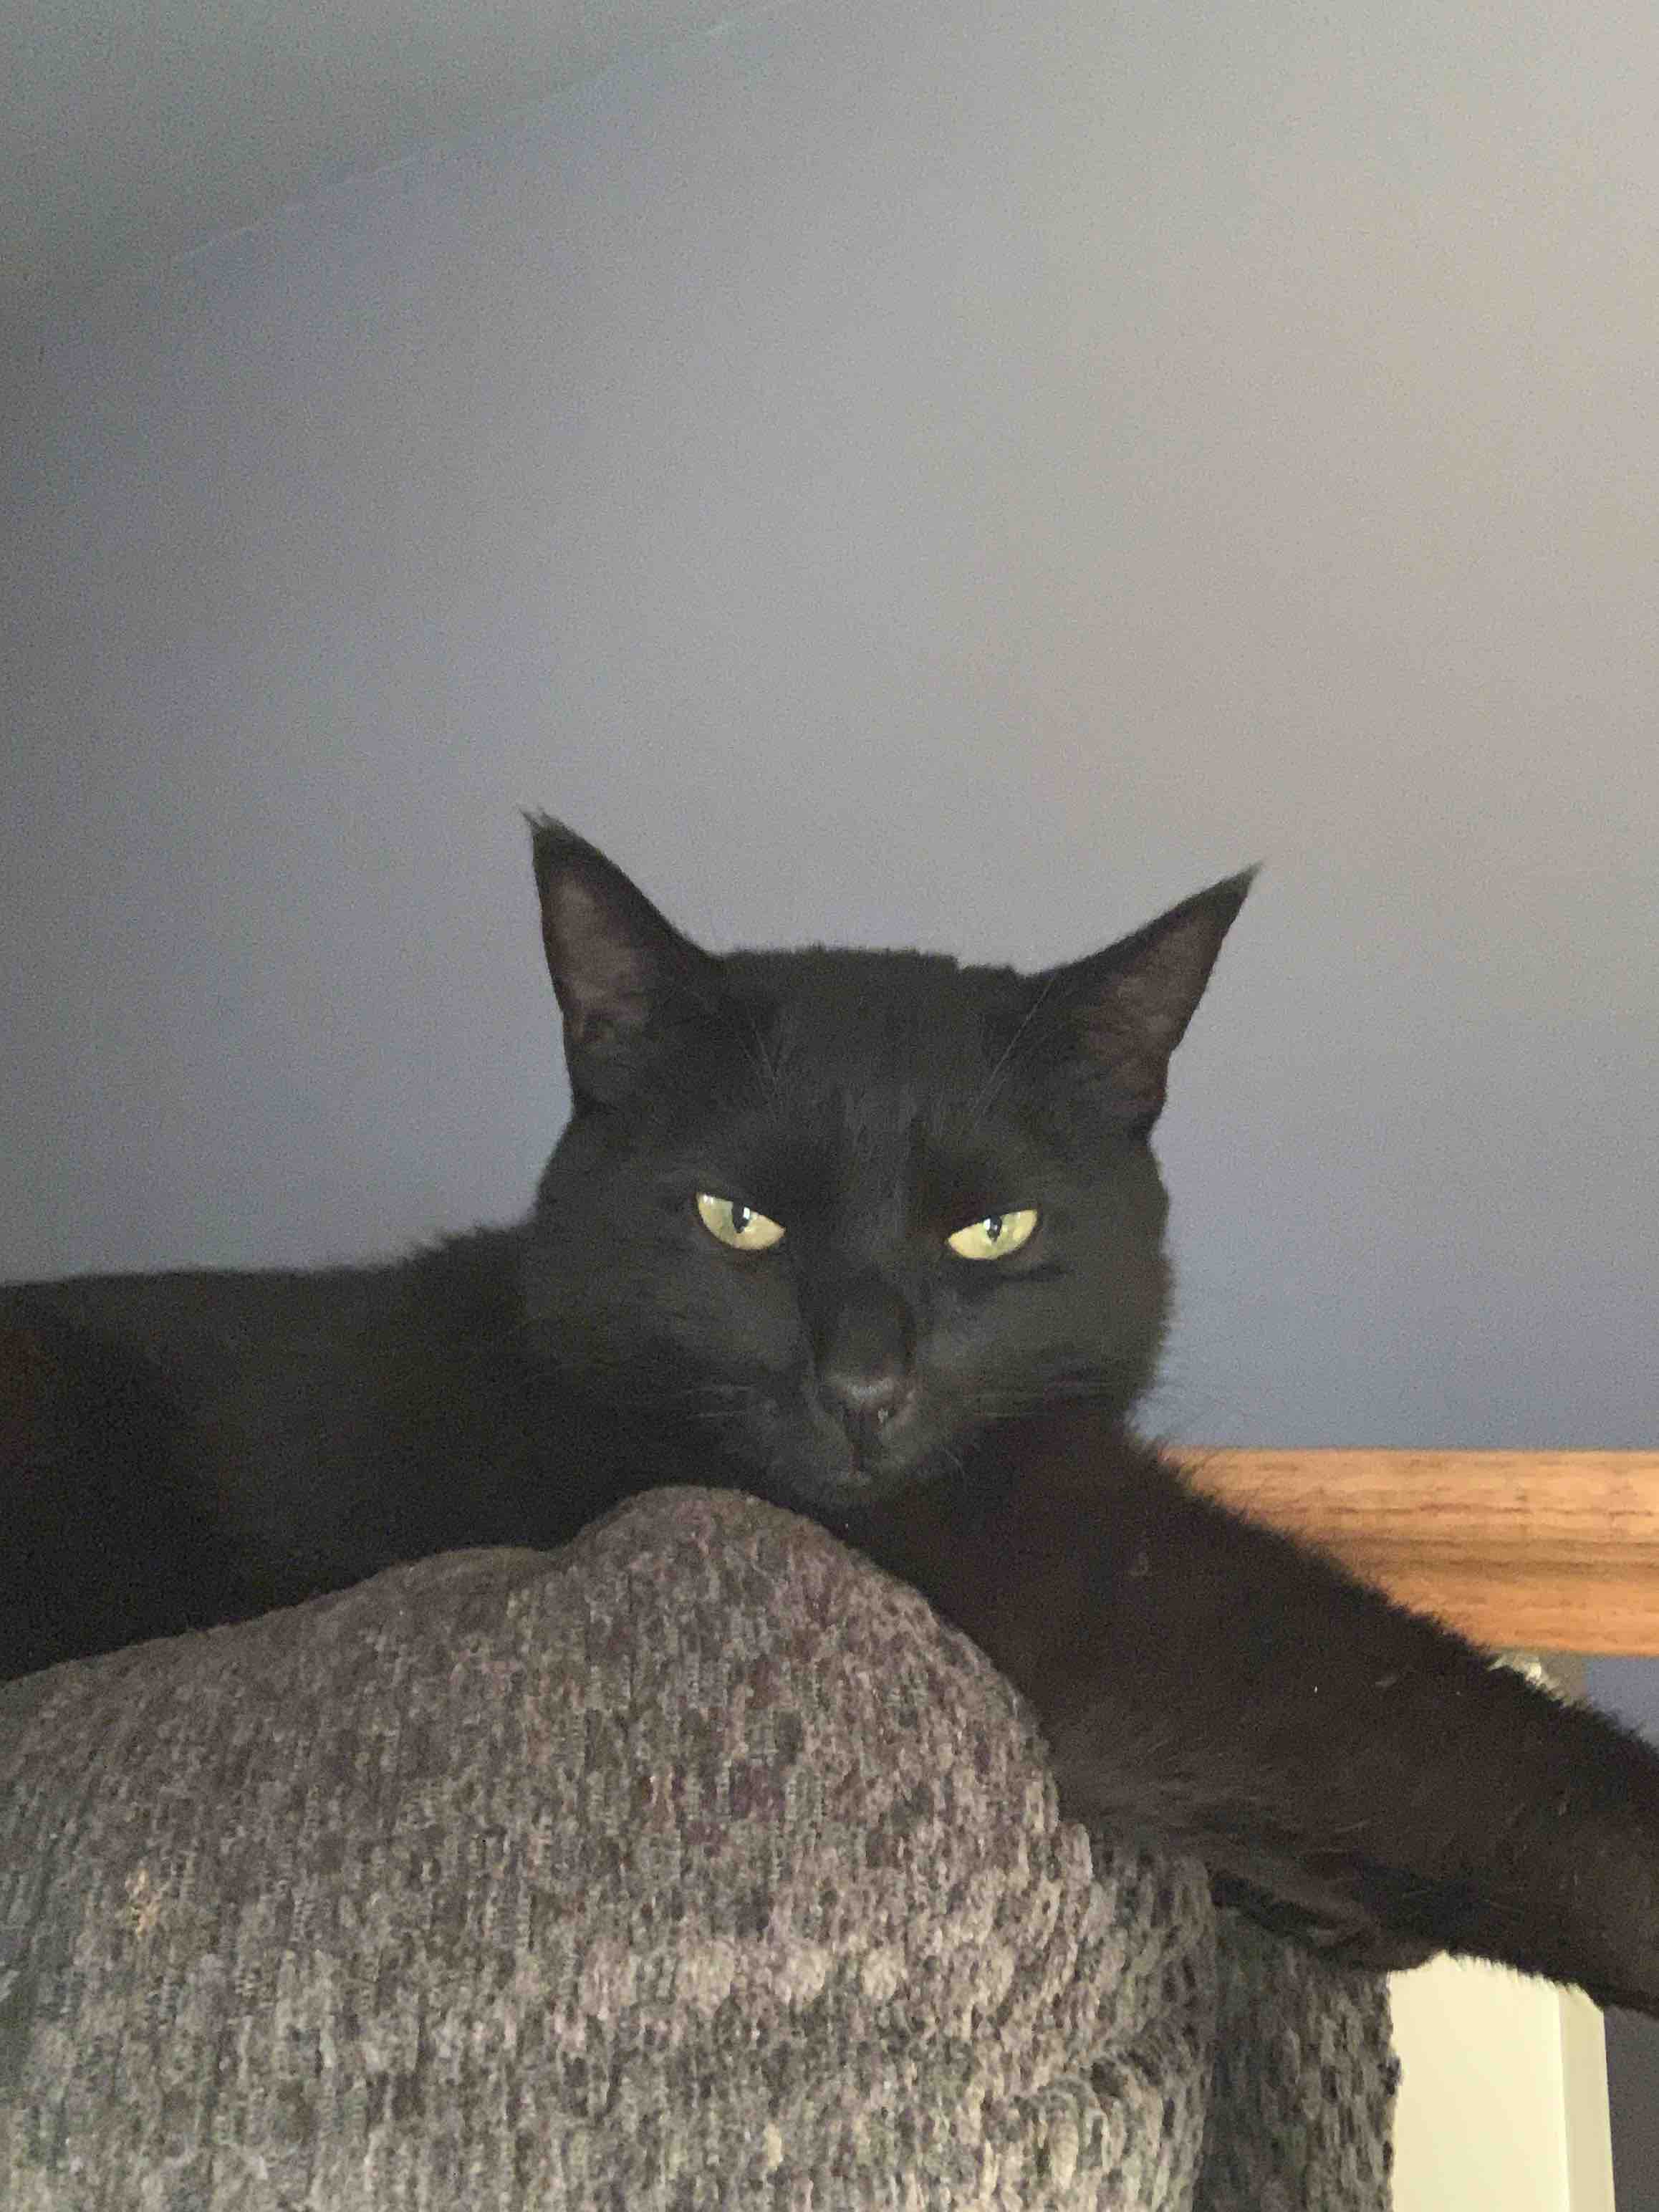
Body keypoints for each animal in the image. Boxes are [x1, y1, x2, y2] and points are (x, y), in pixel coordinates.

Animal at [6, 817, 1659, 2015]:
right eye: (738, 1220)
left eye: (991, 1231)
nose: (865, 1388)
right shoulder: (1099, 1592)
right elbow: (1439, 1736)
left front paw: (1325, 1907)